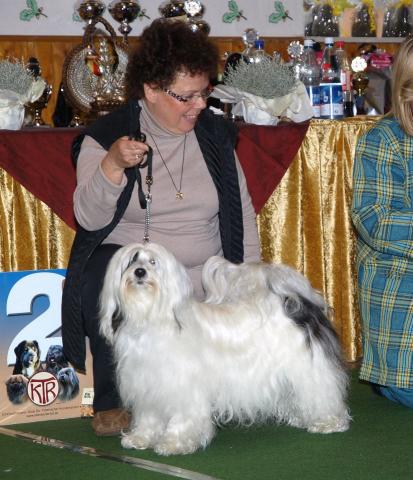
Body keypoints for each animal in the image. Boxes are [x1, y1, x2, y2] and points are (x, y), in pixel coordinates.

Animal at [98, 242, 350, 456]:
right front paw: (140, 438)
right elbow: (149, 417)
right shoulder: (146, 385)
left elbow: (182, 418)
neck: (150, 317)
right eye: (131, 261)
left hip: (308, 367)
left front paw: (174, 443)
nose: (139, 272)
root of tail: (295, 301)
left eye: (153, 262)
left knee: (322, 393)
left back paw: (328, 421)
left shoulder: (183, 387)